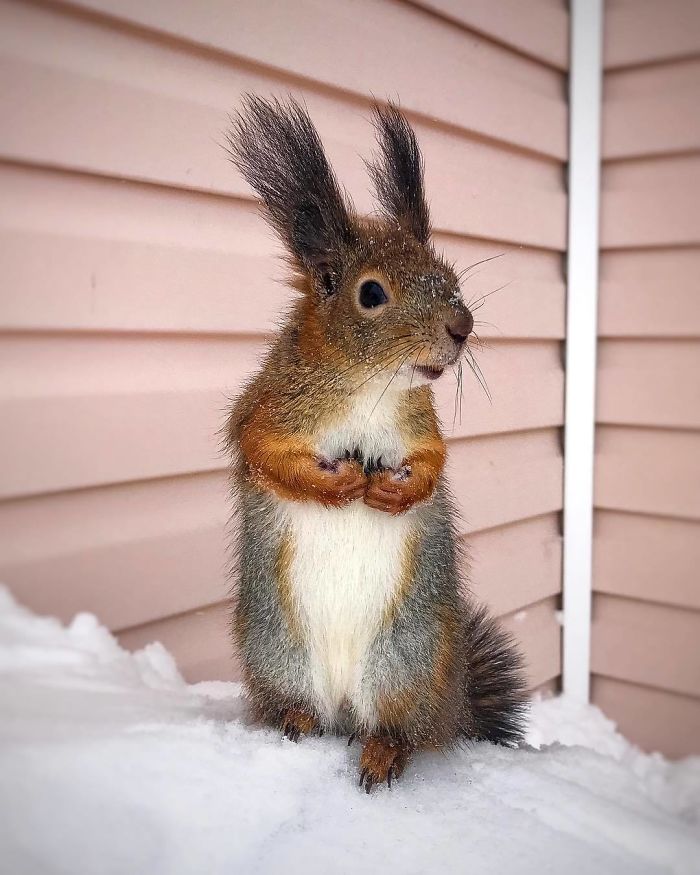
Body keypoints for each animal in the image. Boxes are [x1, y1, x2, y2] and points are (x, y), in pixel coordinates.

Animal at [225, 96, 526, 792]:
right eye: (371, 293)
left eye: (448, 277)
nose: (462, 326)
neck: (371, 384)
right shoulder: (269, 408)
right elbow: (264, 453)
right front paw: (336, 482)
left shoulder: (420, 426)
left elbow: (433, 464)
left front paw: (395, 493)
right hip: (278, 649)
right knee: (300, 706)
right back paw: (295, 721)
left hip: (406, 658)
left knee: (399, 728)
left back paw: (383, 751)